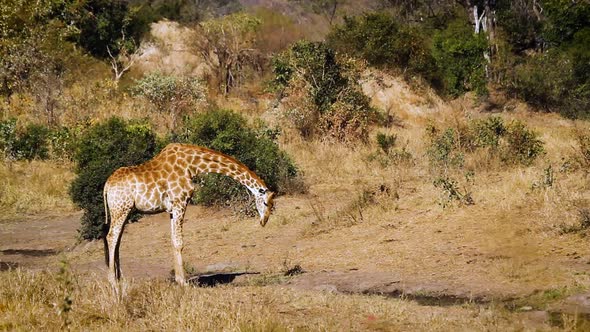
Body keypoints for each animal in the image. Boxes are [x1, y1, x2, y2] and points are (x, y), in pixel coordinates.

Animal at [103, 141, 276, 292]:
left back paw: (120, 279)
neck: (192, 166)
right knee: (111, 237)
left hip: (124, 211)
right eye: (266, 203)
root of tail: (106, 186)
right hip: (120, 208)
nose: (264, 221)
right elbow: (180, 242)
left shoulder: (172, 209)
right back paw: (113, 283)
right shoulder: (180, 202)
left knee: (117, 240)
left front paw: (179, 280)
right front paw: (184, 283)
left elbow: (174, 240)